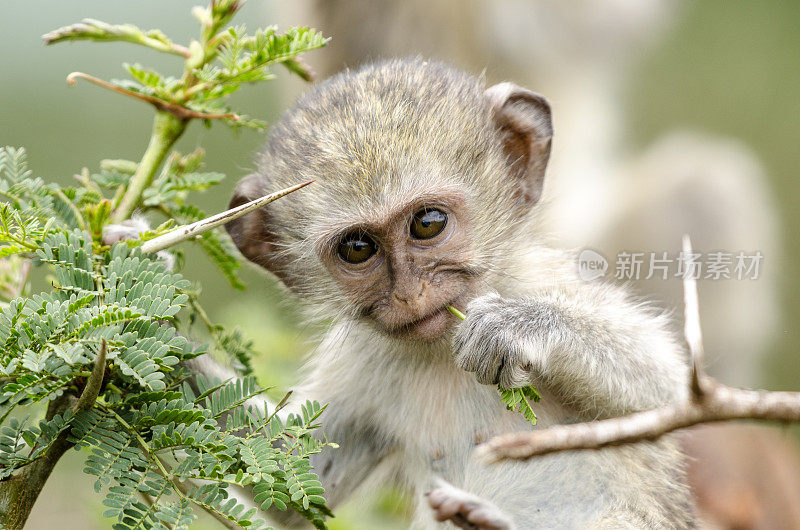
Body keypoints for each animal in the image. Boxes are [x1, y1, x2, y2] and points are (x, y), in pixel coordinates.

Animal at [223, 57, 692, 524]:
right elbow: (295, 480)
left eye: (428, 223)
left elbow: (668, 387)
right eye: (357, 248)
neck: (443, 352)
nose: (411, 294)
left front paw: (517, 327)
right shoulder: (362, 360)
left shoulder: (534, 277)